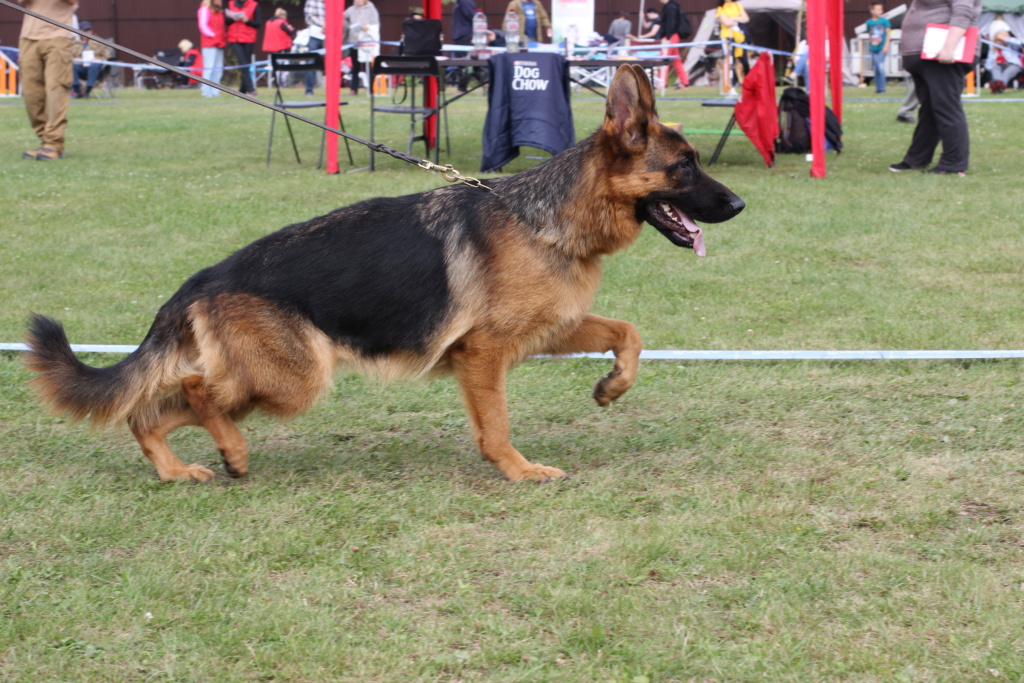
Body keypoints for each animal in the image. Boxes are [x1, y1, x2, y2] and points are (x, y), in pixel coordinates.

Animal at [25, 62, 745, 481]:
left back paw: (178, 470)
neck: (548, 215)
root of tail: (202, 279)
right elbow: (497, 425)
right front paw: (518, 470)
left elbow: (629, 332)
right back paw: (231, 452)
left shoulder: (547, 329)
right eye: (684, 168)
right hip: (296, 378)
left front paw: (612, 386)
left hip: (277, 379)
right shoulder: (485, 354)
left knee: (147, 412)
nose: (739, 204)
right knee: (196, 390)